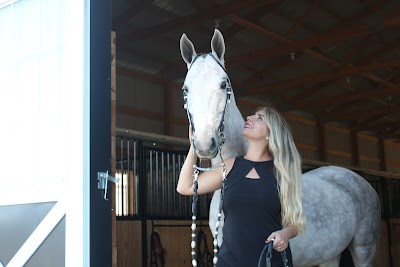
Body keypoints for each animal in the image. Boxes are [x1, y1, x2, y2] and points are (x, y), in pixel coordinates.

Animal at [180, 29, 382, 267]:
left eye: (223, 84)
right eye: (185, 89)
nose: (204, 143)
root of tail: (361, 182)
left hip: (363, 250)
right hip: (330, 255)